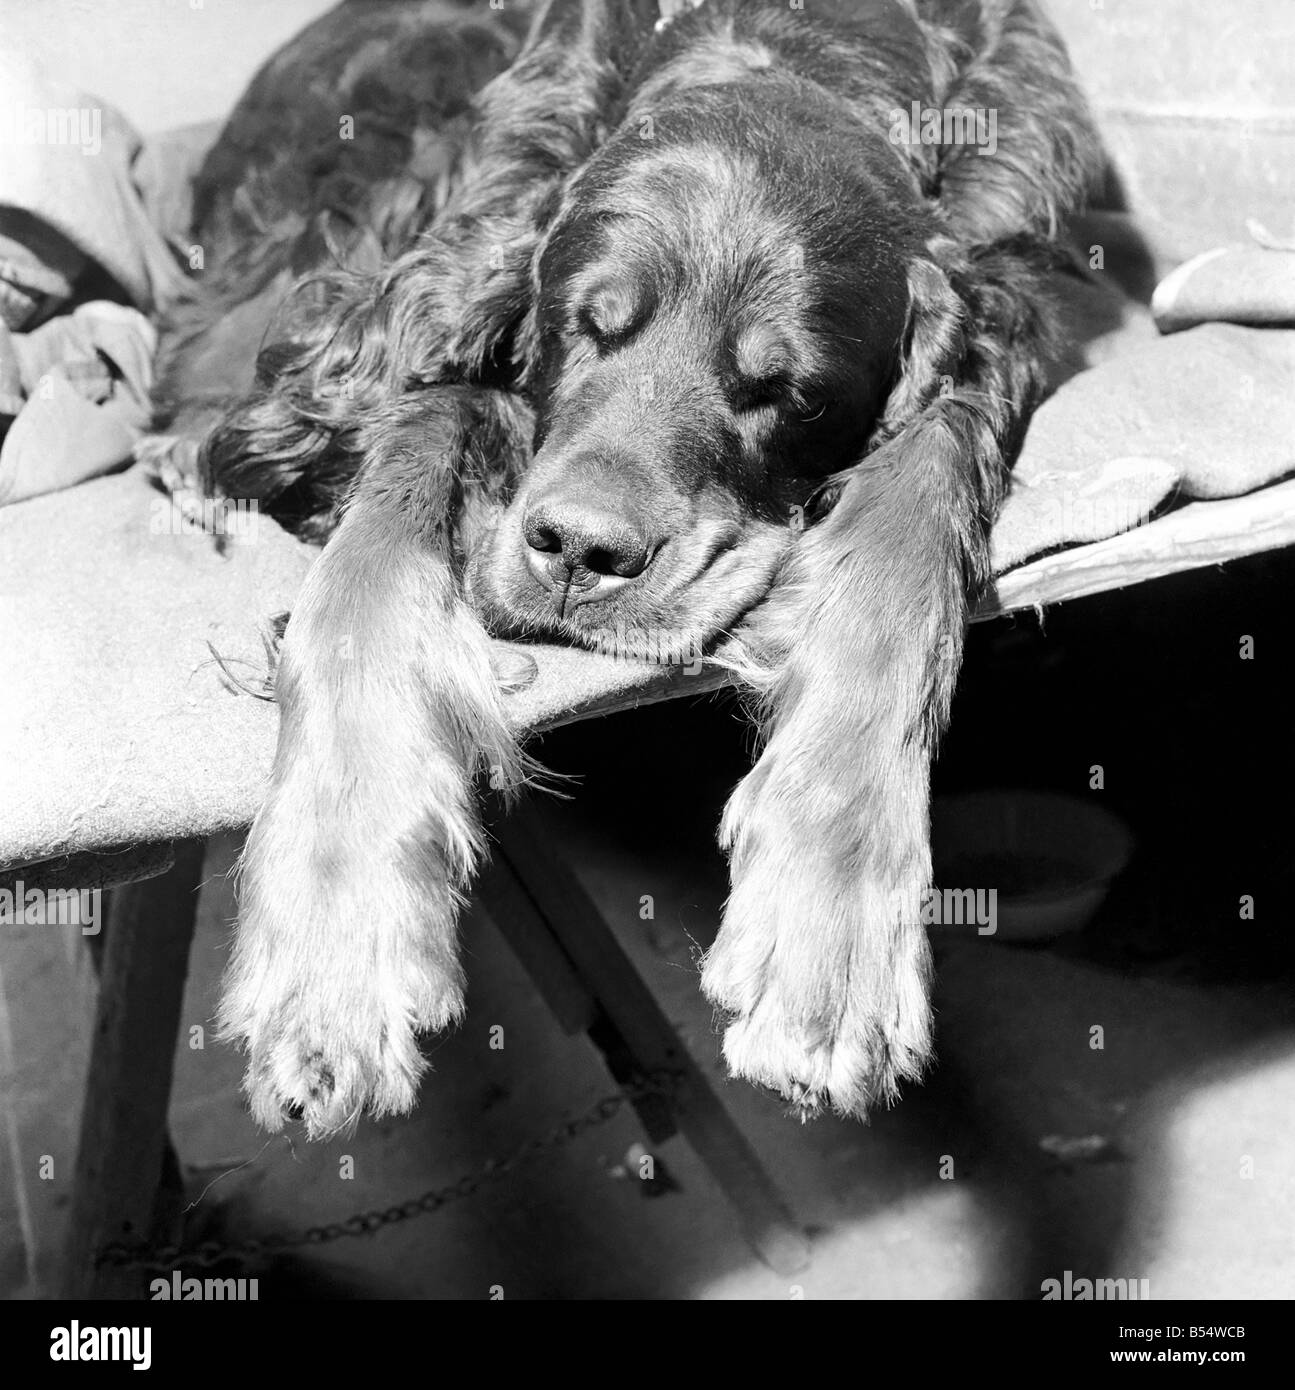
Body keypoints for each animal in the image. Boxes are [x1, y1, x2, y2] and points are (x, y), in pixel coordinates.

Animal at [154, 0, 1100, 1128]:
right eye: (583, 326)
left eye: (788, 392)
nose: (582, 550)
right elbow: (368, 556)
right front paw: (334, 940)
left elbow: (906, 533)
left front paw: (826, 914)